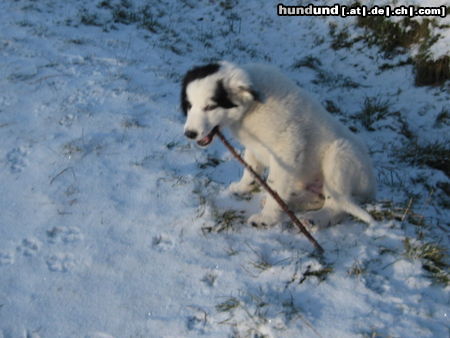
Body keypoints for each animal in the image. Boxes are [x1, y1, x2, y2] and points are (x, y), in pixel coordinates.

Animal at [181, 60, 374, 227]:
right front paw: (243, 187)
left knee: (336, 206)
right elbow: (250, 168)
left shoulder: (287, 149)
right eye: (189, 106)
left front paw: (267, 218)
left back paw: (315, 219)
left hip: (340, 155)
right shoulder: (254, 145)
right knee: (317, 198)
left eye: (210, 107)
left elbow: (275, 183)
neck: (251, 107)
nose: (189, 134)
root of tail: (372, 188)